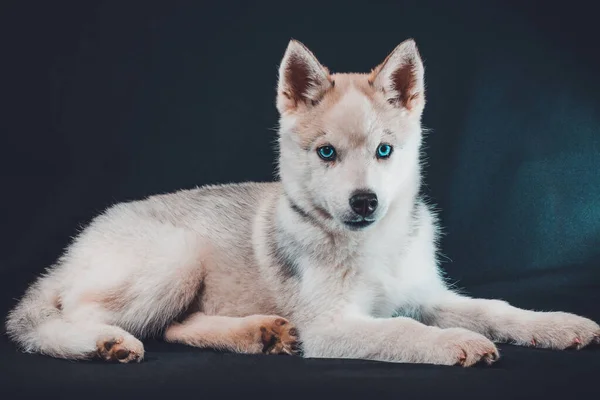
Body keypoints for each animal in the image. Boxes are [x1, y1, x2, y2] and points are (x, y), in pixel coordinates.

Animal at [5, 39, 600, 366]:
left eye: (385, 150)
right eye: (327, 153)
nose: (364, 202)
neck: (370, 246)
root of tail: (77, 244)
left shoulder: (425, 294)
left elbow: (494, 308)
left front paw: (556, 324)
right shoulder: (331, 324)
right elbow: (404, 330)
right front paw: (457, 342)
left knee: (173, 325)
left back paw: (257, 333)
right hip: (174, 260)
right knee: (65, 320)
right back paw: (104, 342)